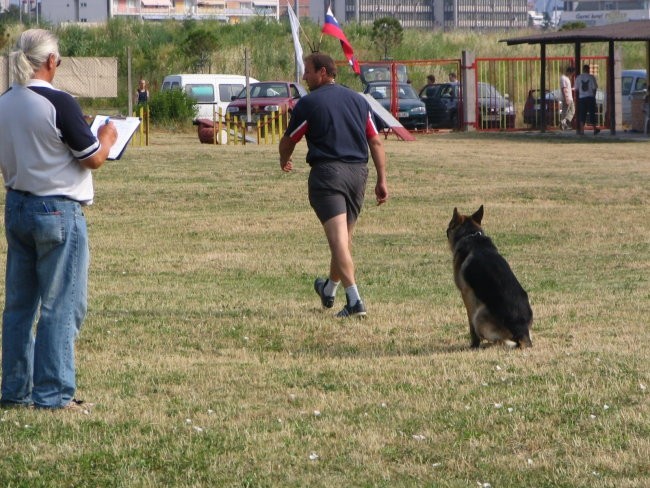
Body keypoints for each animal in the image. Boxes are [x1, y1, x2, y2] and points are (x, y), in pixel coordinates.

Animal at [446, 205, 532, 346]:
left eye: (450, 225)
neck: (472, 235)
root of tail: (522, 331)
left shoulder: (466, 294)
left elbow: (470, 324)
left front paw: (474, 344)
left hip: (479, 315)